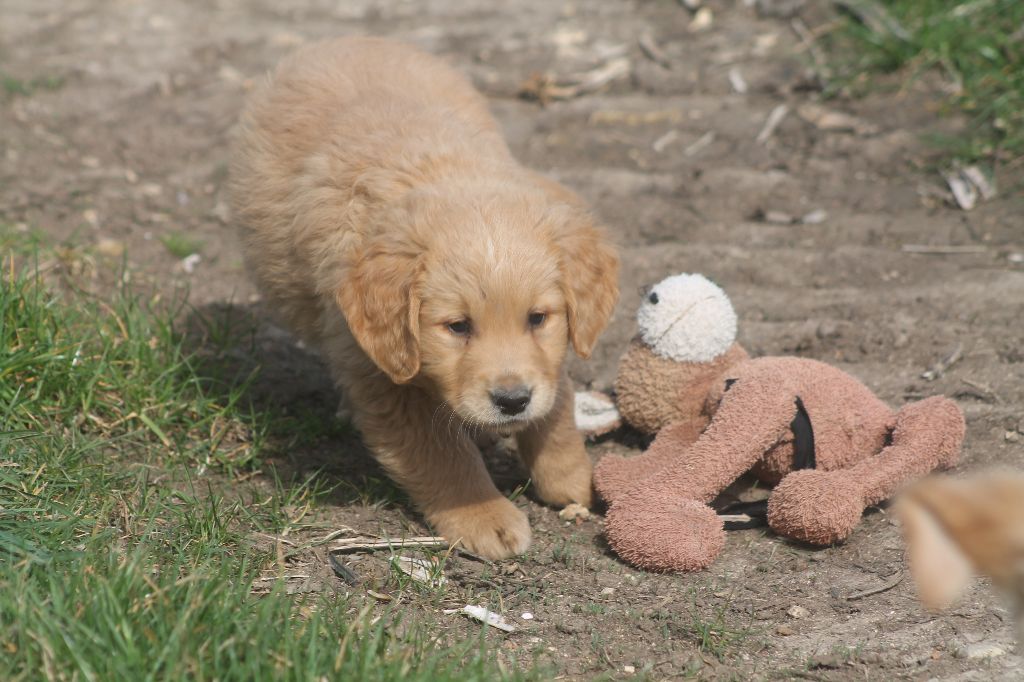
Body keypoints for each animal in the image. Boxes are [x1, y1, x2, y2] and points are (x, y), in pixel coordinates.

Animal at [230, 35, 614, 557]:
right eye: (458, 327)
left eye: (538, 318)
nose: (512, 401)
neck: (437, 171)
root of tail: (346, 40)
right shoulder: (382, 376)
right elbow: (442, 454)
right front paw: (483, 515)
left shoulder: (546, 363)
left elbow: (557, 399)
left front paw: (571, 476)